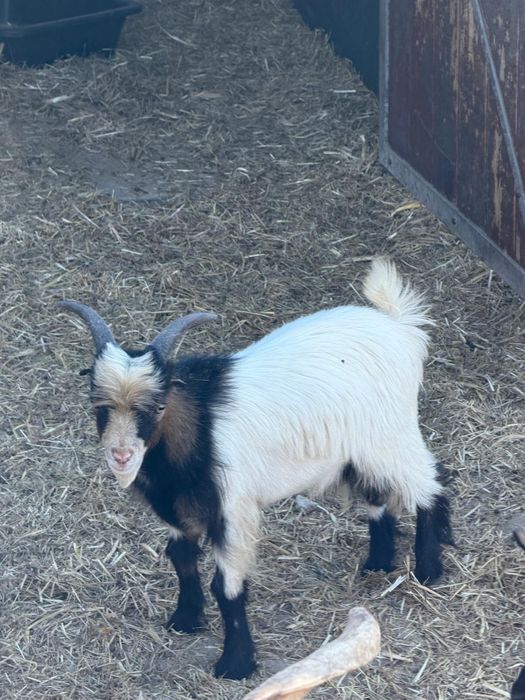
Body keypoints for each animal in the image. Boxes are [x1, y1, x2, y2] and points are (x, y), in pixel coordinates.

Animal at [58, 259, 453, 680]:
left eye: (159, 406)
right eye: (98, 406)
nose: (121, 455)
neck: (199, 426)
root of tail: (398, 325)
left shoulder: (232, 509)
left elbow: (227, 586)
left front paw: (235, 663)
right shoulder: (178, 510)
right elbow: (180, 556)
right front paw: (185, 620)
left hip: (388, 437)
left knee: (430, 481)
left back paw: (429, 570)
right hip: (356, 452)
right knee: (377, 493)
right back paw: (378, 564)